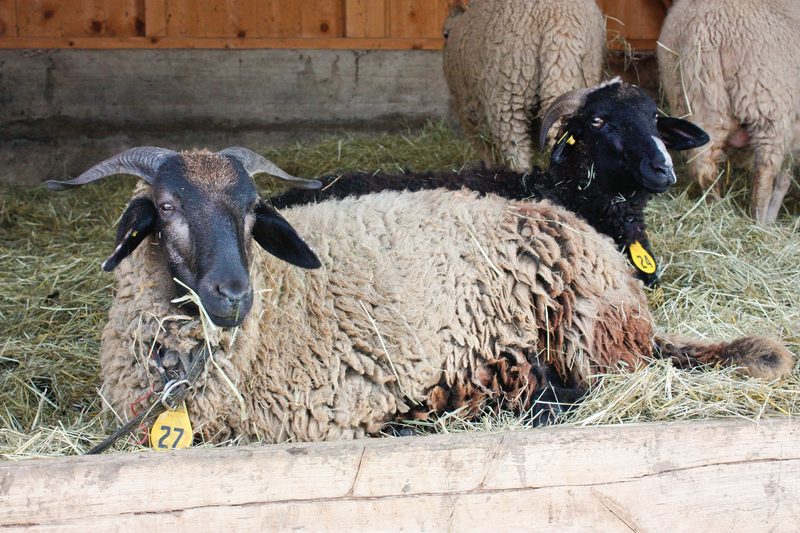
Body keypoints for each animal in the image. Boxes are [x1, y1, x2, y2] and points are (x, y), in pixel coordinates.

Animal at [442, 0, 606, 172]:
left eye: (445, 34)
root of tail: (560, 20)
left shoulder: (469, 113)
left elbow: (486, 149)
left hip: (509, 89)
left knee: (516, 143)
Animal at [657, 0, 800, 223]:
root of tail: (703, 30)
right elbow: (784, 177)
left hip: (696, 102)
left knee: (704, 165)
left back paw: (714, 209)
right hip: (767, 103)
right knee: (765, 171)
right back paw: (760, 222)